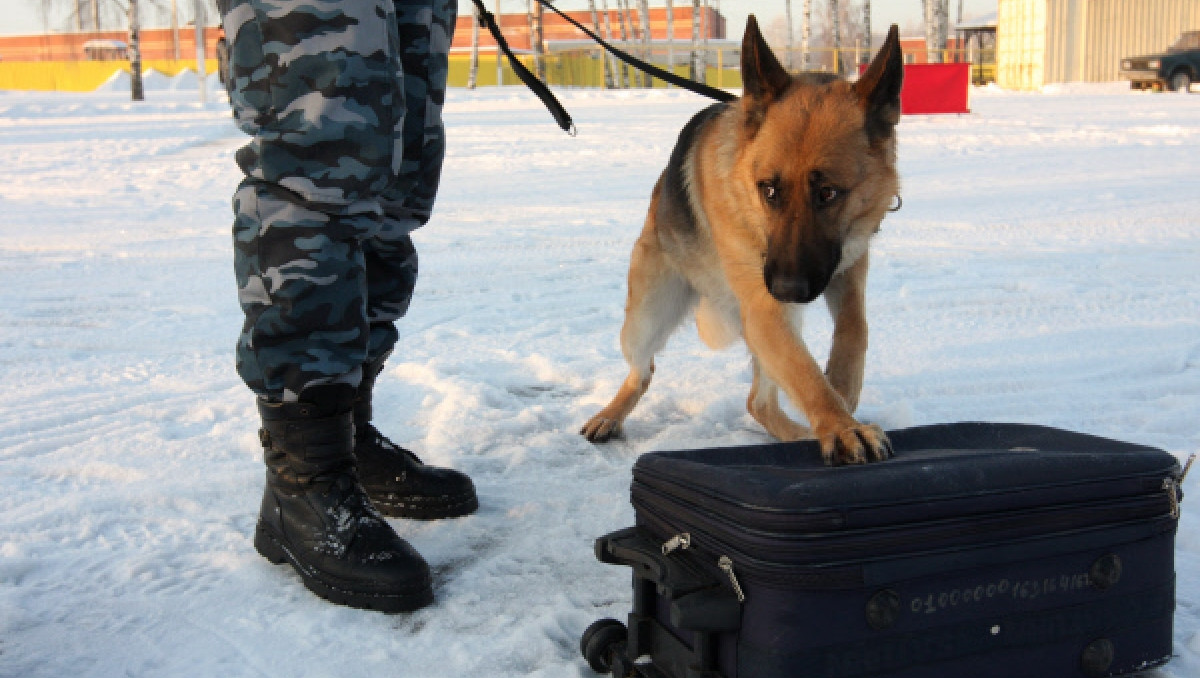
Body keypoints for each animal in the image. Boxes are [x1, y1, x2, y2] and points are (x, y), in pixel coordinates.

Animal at [578, 15, 902, 463]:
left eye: (828, 193)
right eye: (769, 189)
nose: (787, 288)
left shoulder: (846, 268)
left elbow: (855, 328)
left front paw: (842, 391)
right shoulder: (766, 307)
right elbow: (805, 373)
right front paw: (841, 426)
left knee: (758, 402)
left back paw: (798, 432)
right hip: (648, 317)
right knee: (642, 371)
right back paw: (610, 415)